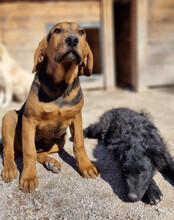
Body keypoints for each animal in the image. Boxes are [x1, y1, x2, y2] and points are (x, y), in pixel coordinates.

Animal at [1, 21, 98, 192]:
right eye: (57, 31)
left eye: (81, 32)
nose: (72, 39)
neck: (61, 85)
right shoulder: (29, 120)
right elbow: (29, 152)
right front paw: (28, 177)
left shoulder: (77, 117)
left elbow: (79, 144)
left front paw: (86, 166)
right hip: (9, 117)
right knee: (10, 151)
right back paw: (10, 169)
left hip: (61, 139)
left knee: (39, 152)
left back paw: (50, 162)